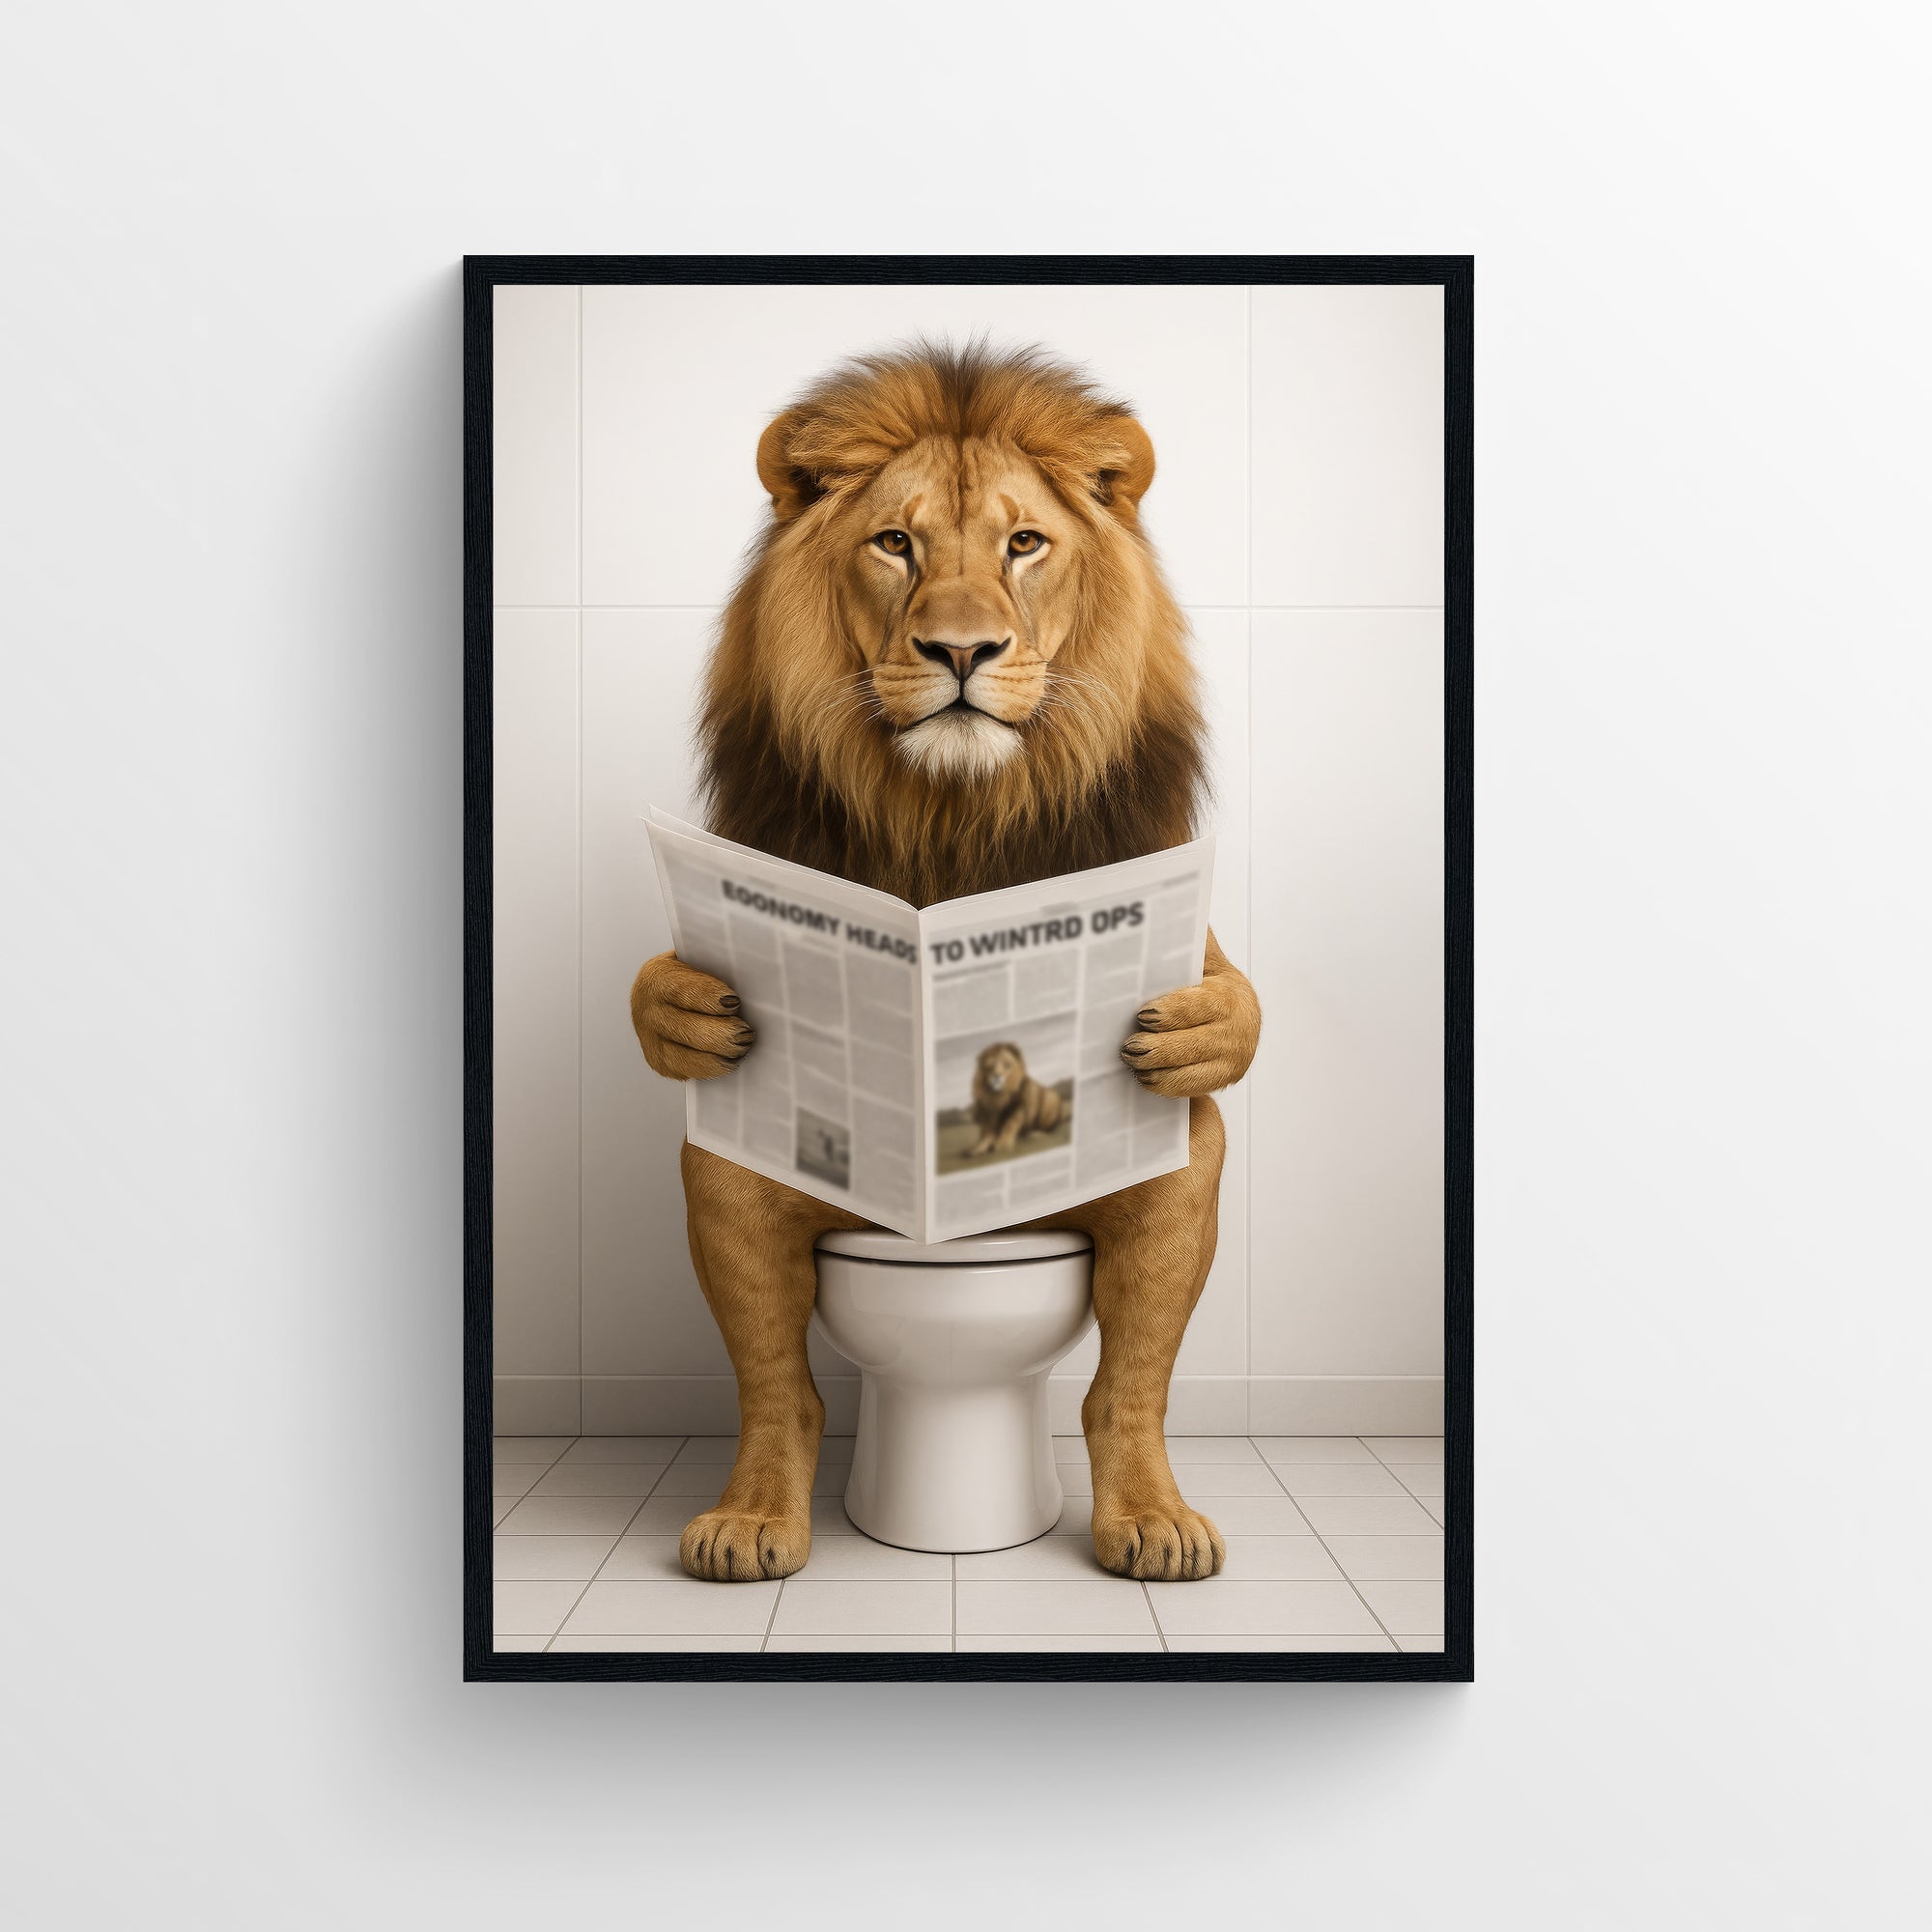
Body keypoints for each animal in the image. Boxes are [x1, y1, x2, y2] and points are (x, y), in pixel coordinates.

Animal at [630, 342, 1262, 1583]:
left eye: (1022, 543)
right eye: (895, 543)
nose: (961, 650)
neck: (951, 811)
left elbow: (1231, 1000)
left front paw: (1202, 1023)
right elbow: (653, 986)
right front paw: (686, 1008)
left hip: (1150, 1170)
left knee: (1124, 1376)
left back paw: (1152, 1519)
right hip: (757, 1168)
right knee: (780, 1379)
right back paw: (750, 1520)